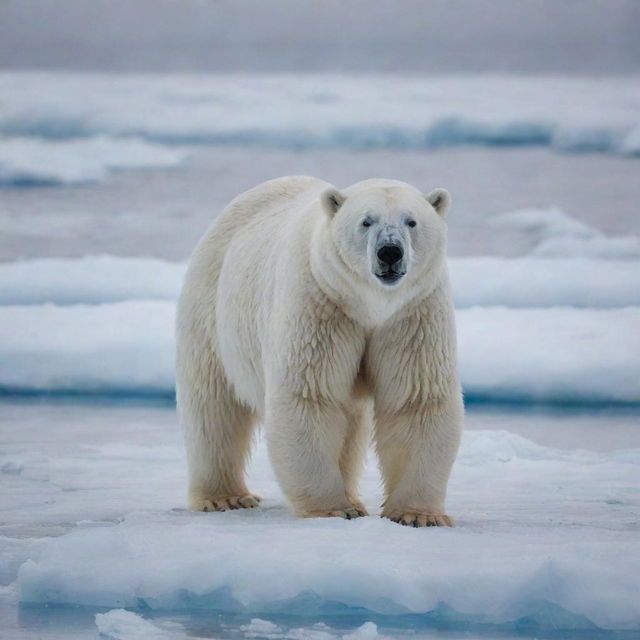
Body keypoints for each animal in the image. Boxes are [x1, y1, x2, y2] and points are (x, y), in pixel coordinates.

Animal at [175, 175, 462, 524]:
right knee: (214, 407)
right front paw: (334, 509)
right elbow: (311, 395)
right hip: (213, 309)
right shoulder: (320, 303)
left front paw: (418, 515)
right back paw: (224, 497)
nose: (390, 252)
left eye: (412, 221)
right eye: (366, 221)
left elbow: (415, 400)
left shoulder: (412, 314)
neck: (370, 306)